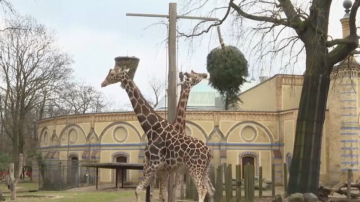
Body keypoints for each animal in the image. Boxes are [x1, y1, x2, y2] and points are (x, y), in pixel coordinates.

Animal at [100, 57, 215, 202]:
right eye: (195, 75)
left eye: (111, 73)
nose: (103, 83)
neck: (151, 127)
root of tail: (209, 153)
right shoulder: (162, 169)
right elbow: (161, 194)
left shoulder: (158, 166)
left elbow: (141, 190)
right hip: (202, 170)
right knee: (210, 190)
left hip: (195, 168)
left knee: (202, 190)